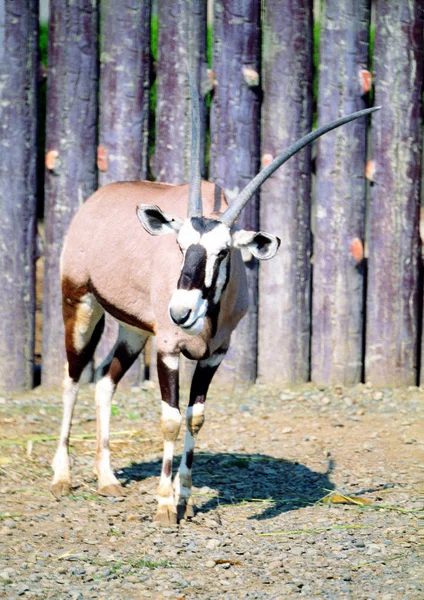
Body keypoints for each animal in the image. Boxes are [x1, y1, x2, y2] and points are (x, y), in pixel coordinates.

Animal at [51, 75, 380, 524]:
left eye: (224, 252)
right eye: (179, 245)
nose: (180, 311)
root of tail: (93, 202)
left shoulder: (214, 354)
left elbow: (196, 418)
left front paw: (186, 498)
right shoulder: (169, 349)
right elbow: (171, 420)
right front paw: (165, 505)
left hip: (134, 330)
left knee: (104, 379)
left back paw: (107, 480)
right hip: (81, 304)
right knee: (71, 376)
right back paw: (62, 478)